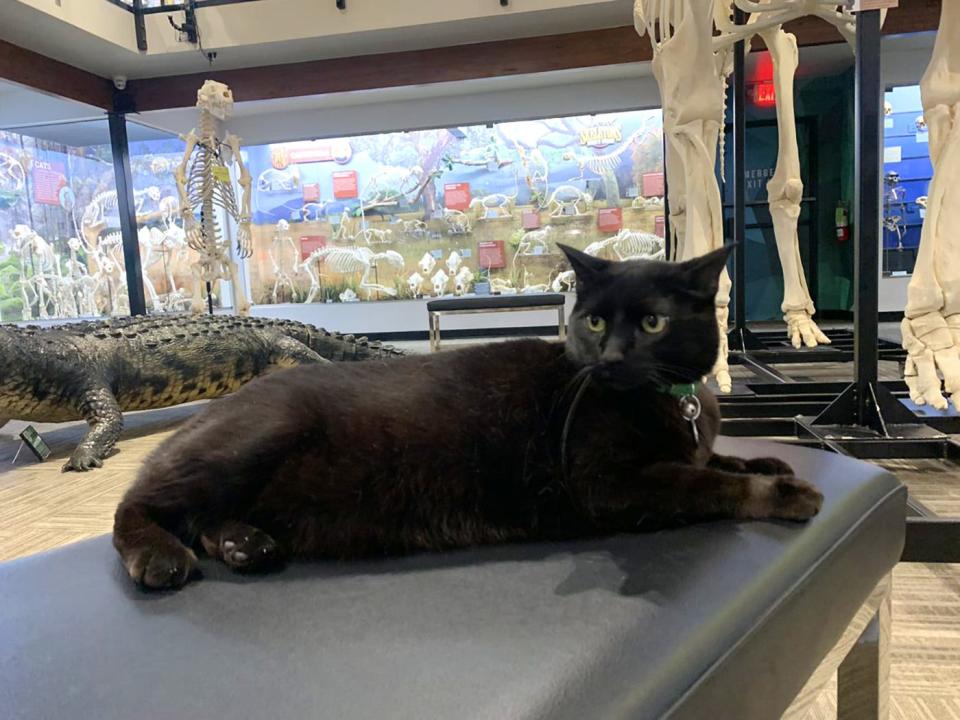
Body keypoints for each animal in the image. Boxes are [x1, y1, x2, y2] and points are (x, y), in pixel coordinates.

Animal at [112, 245, 816, 588]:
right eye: (593, 321)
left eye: (651, 323)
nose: (612, 357)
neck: (679, 400)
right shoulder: (609, 483)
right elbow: (706, 481)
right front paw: (784, 493)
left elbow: (718, 458)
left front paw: (767, 459)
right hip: (257, 437)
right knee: (138, 504)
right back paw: (161, 558)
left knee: (202, 517)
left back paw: (243, 544)